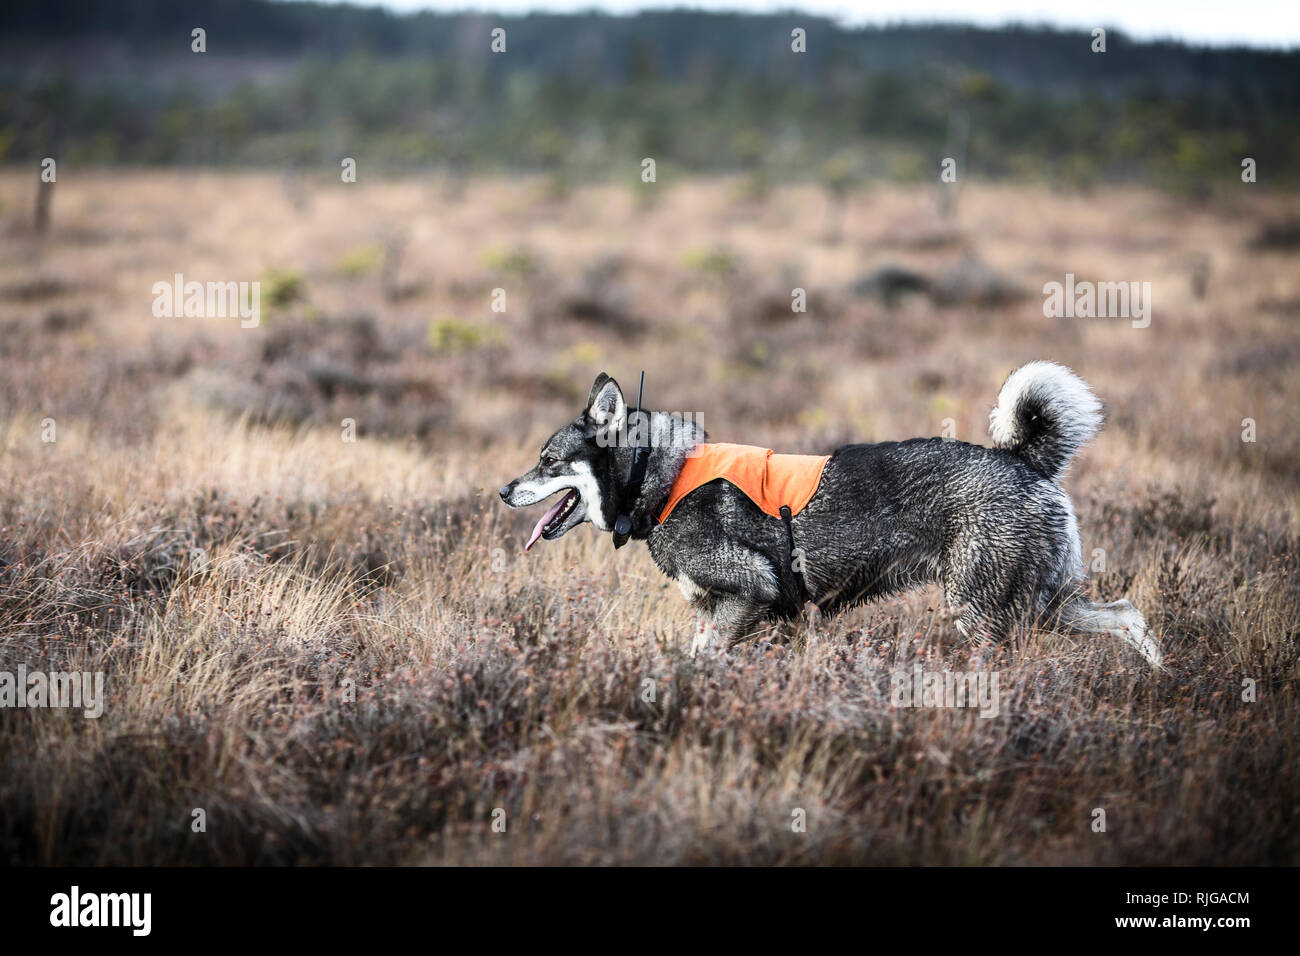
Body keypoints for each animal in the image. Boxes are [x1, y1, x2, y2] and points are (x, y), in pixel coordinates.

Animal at [501, 361, 1164, 671]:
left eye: (547, 460)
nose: (505, 489)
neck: (658, 478)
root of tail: (1024, 460)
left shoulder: (749, 595)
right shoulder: (718, 613)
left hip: (984, 613)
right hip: (1041, 602)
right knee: (1128, 615)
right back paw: (1161, 676)